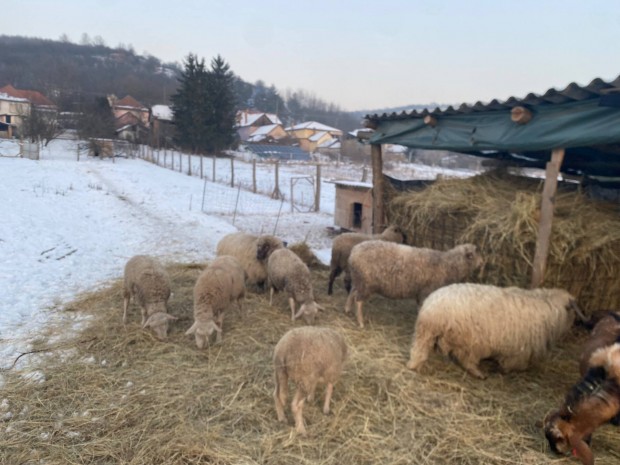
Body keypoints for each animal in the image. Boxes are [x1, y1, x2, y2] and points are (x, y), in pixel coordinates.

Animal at [344, 242, 483, 328]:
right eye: (475, 254)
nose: (483, 263)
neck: (447, 264)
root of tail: (353, 252)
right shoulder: (426, 292)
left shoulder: (420, 293)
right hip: (365, 283)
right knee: (358, 301)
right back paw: (361, 322)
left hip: (358, 280)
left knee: (352, 292)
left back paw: (347, 310)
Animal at [406, 283, 585, 379]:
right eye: (574, 313)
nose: (576, 326)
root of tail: (431, 306)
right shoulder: (520, 350)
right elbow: (515, 364)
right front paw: (505, 370)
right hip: (469, 341)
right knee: (467, 360)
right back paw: (479, 373)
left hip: (427, 334)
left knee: (418, 350)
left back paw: (414, 366)